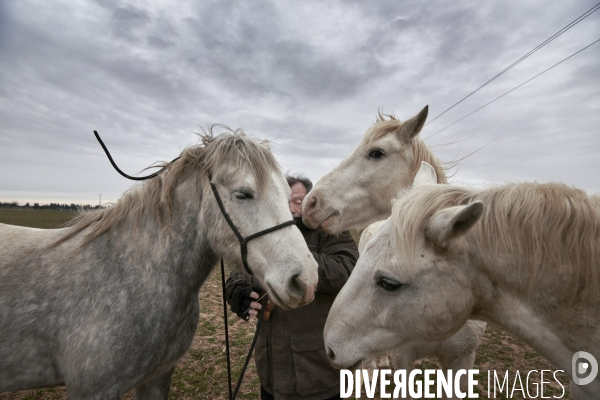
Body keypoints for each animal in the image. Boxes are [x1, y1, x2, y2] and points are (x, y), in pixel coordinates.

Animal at [0, 130, 318, 398]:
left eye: (289, 197)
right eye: (242, 194)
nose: (306, 280)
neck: (129, 276)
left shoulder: (158, 376)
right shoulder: (93, 390)